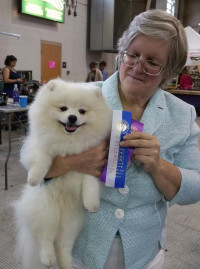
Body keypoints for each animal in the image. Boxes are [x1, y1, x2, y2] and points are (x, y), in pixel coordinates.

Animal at [13, 79, 111, 268]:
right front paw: (34, 178)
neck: (69, 142)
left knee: (63, 245)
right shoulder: (40, 145)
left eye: (82, 111)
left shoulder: (91, 165)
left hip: (70, 223)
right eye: (63, 108)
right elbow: (42, 158)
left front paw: (92, 204)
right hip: (46, 213)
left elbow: (90, 185)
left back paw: (66, 263)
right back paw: (47, 259)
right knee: (45, 240)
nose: (72, 117)